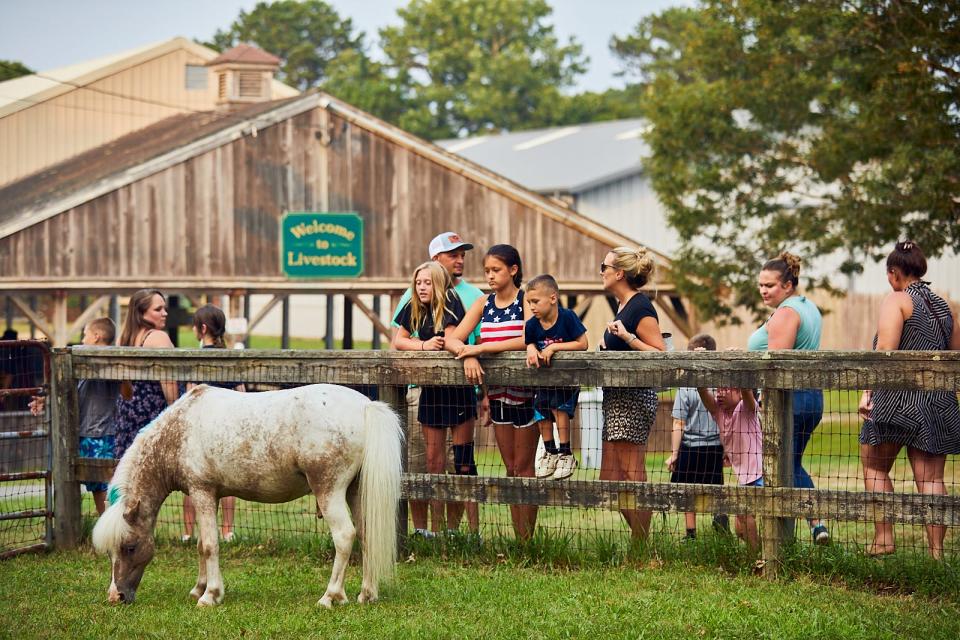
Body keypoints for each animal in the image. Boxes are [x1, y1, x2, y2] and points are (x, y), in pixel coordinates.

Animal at [92, 382, 404, 608]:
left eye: (130, 547)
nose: (117, 597)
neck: (178, 431)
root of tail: (365, 406)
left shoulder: (202, 492)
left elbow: (209, 545)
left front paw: (210, 595)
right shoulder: (210, 497)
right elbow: (201, 545)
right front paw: (199, 588)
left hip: (329, 492)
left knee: (344, 536)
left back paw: (330, 596)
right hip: (355, 492)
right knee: (366, 534)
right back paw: (367, 594)